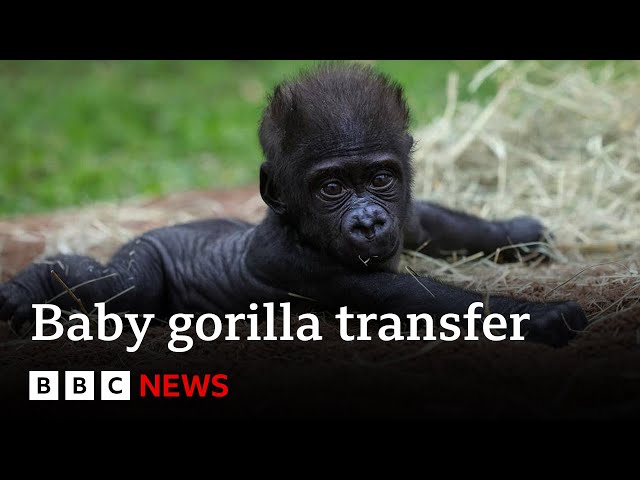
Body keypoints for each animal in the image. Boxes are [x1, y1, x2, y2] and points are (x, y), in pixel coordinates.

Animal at [0, 65, 588, 346]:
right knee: (124, 284)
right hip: (143, 254)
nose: (368, 221)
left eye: (380, 179)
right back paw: (30, 285)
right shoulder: (299, 264)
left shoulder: (404, 210)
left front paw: (515, 231)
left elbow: (431, 220)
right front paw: (541, 317)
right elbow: (423, 299)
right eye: (330, 189)